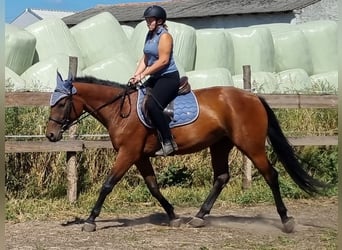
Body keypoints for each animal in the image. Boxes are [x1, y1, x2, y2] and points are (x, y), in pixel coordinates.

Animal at [45, 72, 326, 232]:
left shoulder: (128, 153)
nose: (50, 135)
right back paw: (199, 217)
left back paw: (286, 221)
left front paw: (90, 220)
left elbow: (107, 185)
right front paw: (173, 216)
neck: (120, 110)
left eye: (62, 103)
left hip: (251, 145)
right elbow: (154, 187)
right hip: (220, 145)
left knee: (271, 175)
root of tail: (252, 96)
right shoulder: (140, 156)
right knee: (221, 177)